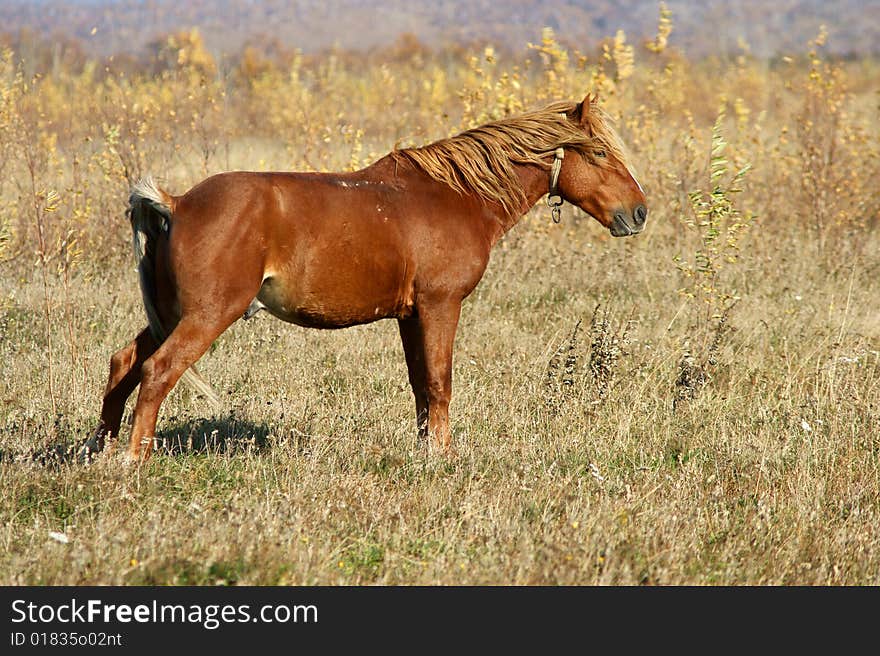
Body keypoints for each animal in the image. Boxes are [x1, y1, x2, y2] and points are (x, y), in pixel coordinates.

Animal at [84, 93, 648, 462]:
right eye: (599, 153)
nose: (639, 212)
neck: (455, 195)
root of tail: (176, 203)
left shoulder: (410, 316)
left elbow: (421, 384)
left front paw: (426, 450)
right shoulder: (441, 306)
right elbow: (440, 382)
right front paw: (443, 457)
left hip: (174, 314)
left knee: (125, 363)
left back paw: (101, 449)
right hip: (207, 316)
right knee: (158, 371)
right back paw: (135, 460)